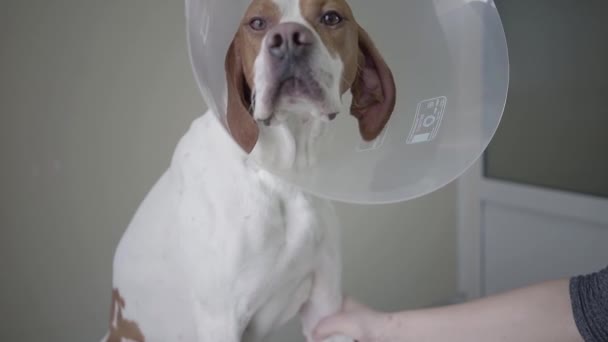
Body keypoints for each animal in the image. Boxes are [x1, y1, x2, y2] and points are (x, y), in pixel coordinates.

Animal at [102, 0, 396, 342]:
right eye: (257, 23)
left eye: (331, 17)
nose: (288, 39)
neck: (281, 176)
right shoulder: (221, 319)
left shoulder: (326, 309)